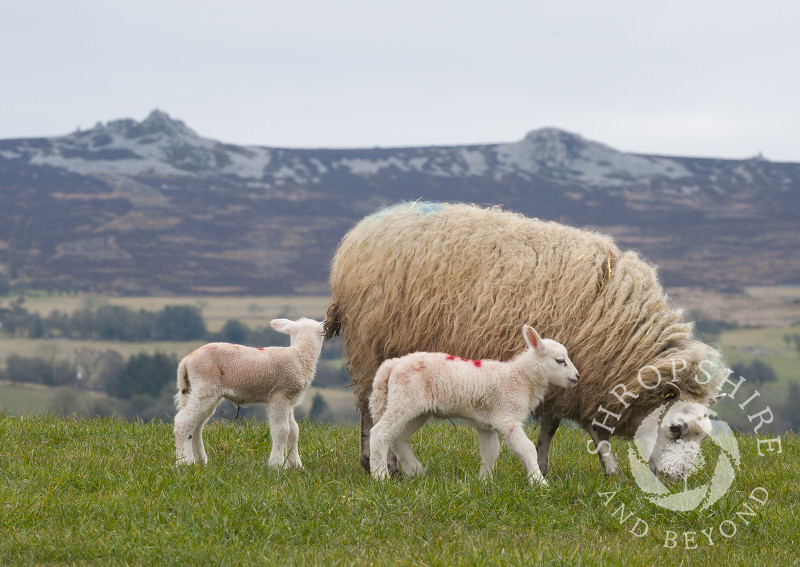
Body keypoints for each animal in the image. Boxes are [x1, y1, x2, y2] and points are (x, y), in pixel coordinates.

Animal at [175, 318, 324, 468]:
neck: (299, 356)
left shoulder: (289, 400)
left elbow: (294, 430)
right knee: (184, 421)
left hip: (199, 391)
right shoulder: (279, 396)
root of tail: (187, 360)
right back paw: (184, 461)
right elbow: (282, 430)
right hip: (205, 386)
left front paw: (295, 465)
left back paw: (200, 460)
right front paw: (276, 464)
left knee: (196, 426)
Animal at [366, 326, 580, 486]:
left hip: (417, 409)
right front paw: (539, 483)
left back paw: (417, 471)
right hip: (404, 399)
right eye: (560, 361)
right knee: (379, 432)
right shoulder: (507, 417)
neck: (520, 378)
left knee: (399, 438)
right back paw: (380, 476)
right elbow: (527, 449)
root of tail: (393, 364)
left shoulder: (487, 422)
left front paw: (484, 481)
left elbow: (491, 452)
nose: (577, 377)